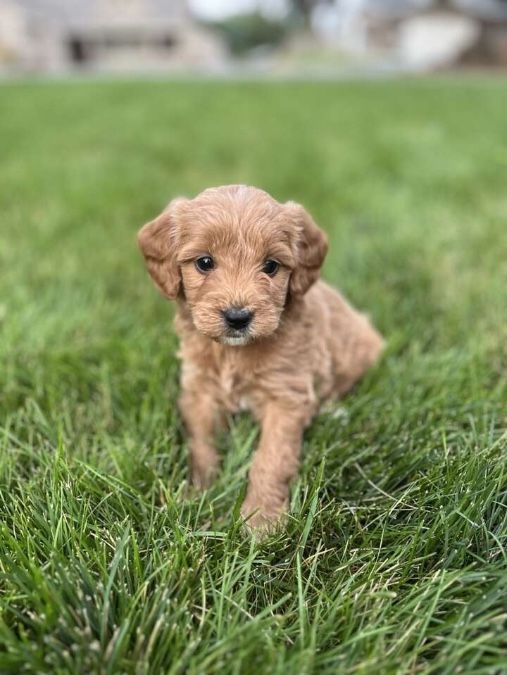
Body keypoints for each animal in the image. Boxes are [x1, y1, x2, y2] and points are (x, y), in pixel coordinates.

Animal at [137, 187, 382, 532]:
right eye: (204, 262)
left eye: (270, 266)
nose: (237, 317)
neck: (234, 353)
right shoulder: (199, 390)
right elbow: (202, 444)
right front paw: (198, 495)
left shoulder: (286, 397)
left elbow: (271, 459)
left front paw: (261, 521)